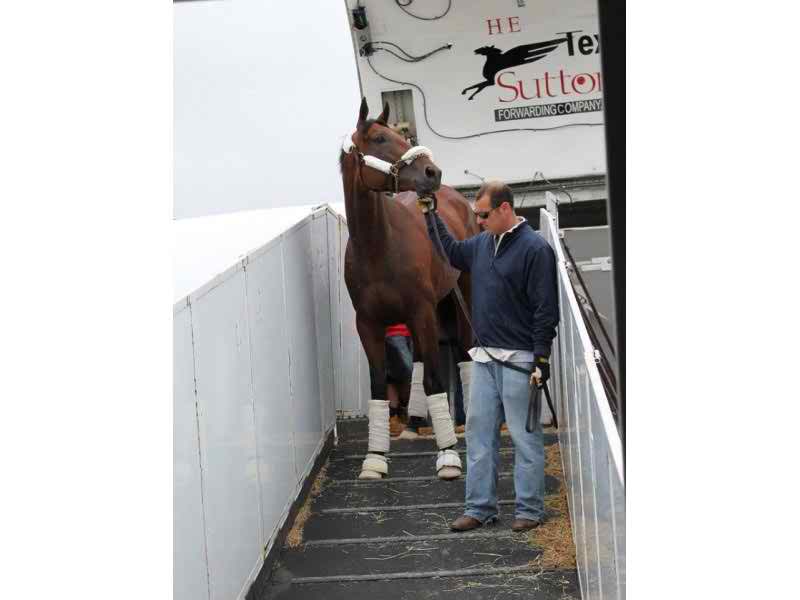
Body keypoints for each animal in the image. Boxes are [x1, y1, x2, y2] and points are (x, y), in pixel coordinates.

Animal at [339, 97, 480, 480]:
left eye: (400, 136)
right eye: (379, 139)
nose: (433, 173)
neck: (378, 246)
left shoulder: (422, 312)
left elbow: (435, 380)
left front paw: (448, 455)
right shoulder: (368, 324)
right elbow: (379, 386)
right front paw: (375, 457)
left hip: (458, 298)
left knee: (463, 353)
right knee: (416, 364)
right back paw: (415, 422)